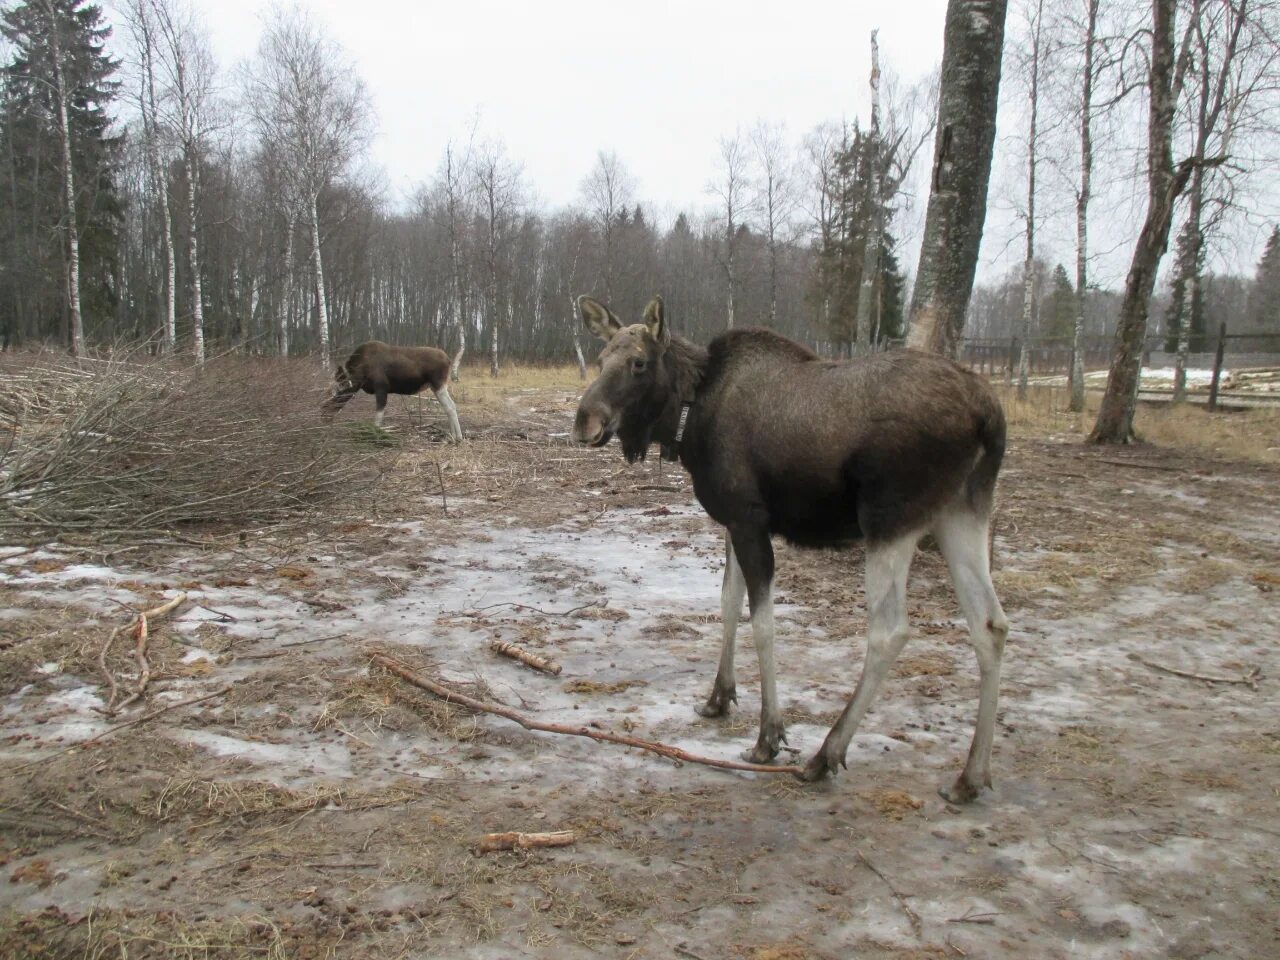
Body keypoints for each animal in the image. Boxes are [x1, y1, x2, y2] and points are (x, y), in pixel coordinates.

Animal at [320, 340, 465, 442]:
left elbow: (378, 418)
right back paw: (452, 436)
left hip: (438, 384)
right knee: (449, 406)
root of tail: (448, 360)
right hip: (435, 386)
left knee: (450, 406)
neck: (360, 374)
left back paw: (458, 437)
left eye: (326, 407)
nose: (322, 420)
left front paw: (376, 437)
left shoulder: (381, 388)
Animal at [573, 295, 1008, 803]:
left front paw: (769, 736)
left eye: (638, 362)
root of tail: (989, 416)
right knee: (990, 624)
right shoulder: (733, 520)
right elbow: (727, 601)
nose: (585, 420)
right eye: (601, 357)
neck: (688, 416)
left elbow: (762, 624)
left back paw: (825, 754)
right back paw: (971, 776)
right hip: (962, 512)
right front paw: (718, 698)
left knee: (890, 631)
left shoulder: (749, 520)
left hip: (891, 520)